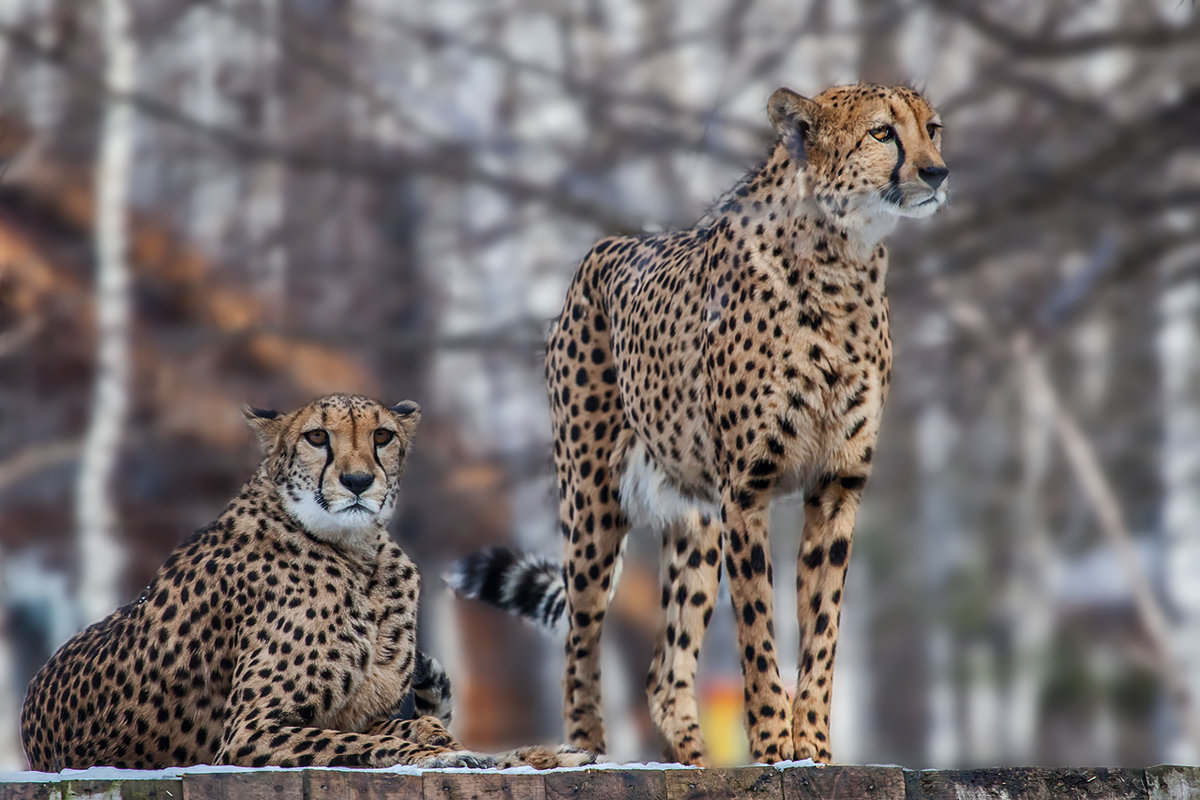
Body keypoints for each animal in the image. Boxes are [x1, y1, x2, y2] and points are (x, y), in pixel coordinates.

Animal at [21, 398, 592, 772]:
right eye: (318, 437)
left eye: (382, 436)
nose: (358, 482)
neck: (361, 556)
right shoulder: (249, 732)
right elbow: (367, 741)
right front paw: (440, 751)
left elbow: (397, 729)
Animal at [451, 84, 945, 767]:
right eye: (882, 133)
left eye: (933, 128)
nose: (937, 172)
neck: (841, 259)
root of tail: (603, 249)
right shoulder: (748, 490)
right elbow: (759, 630)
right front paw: (773, 748)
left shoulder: (836, 488)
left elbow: (822, 630)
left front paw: (814, 749)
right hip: (592, 507)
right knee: (580, 637)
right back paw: (585, 751)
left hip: (696, 519)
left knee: (664, 669)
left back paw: (699, 760)